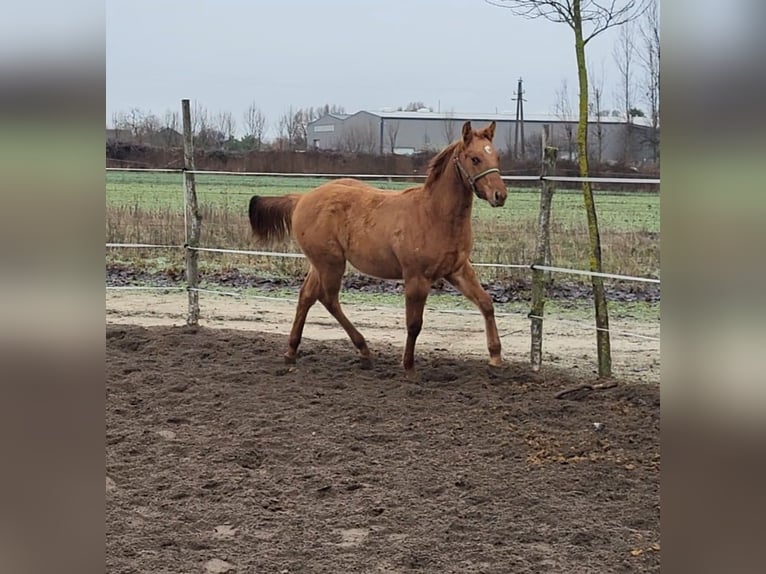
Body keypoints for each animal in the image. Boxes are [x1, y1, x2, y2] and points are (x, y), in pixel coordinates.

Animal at [248, 121, 508, 373]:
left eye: (496, 156)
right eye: (475, 158)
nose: (500, 195)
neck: (433, 215)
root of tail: (302, 198)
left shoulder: (458, 269)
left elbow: (486, 303)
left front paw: (495, 357)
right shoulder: (416, 277)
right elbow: (414, 324)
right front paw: (408, 367)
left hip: (319, 264)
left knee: (307, 296)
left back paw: (292, 352)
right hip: (330, 263)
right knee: (328, 298)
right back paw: (363, 350)